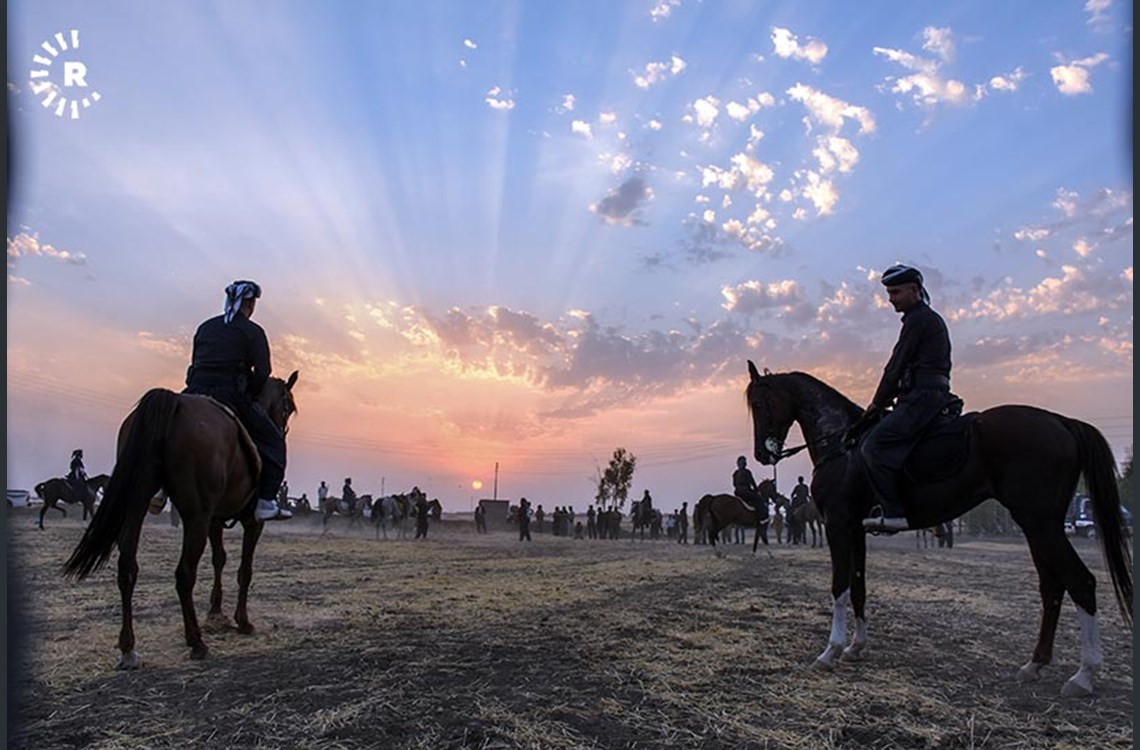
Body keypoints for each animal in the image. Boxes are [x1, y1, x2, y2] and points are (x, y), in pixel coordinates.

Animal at [62, 371, 298, 661]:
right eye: (288, 407)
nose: (281, 430)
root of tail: (173, 402)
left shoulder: (214, 519)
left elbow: (219, 559)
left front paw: (216, 612)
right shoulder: (252, 522)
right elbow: (245, 569)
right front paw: (242, 621)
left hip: (137, 503)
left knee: (127, 567)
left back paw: (128, 648)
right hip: (196, 514)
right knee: (184, 574)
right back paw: (196, 642)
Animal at [738, 360, 1130, 693]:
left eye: (759, 402)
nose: (762, 454)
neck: (842, 443)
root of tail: (1062, 421)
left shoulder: (837, 524)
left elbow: (839, 587)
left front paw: (830, 651)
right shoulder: (855, 529)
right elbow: (859, 586)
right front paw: (856, 646)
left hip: (1041, 524)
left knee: (1081, 582)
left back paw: (1084, 674)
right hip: (1037, 526)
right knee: (1052, 587)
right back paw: (1035, 664)